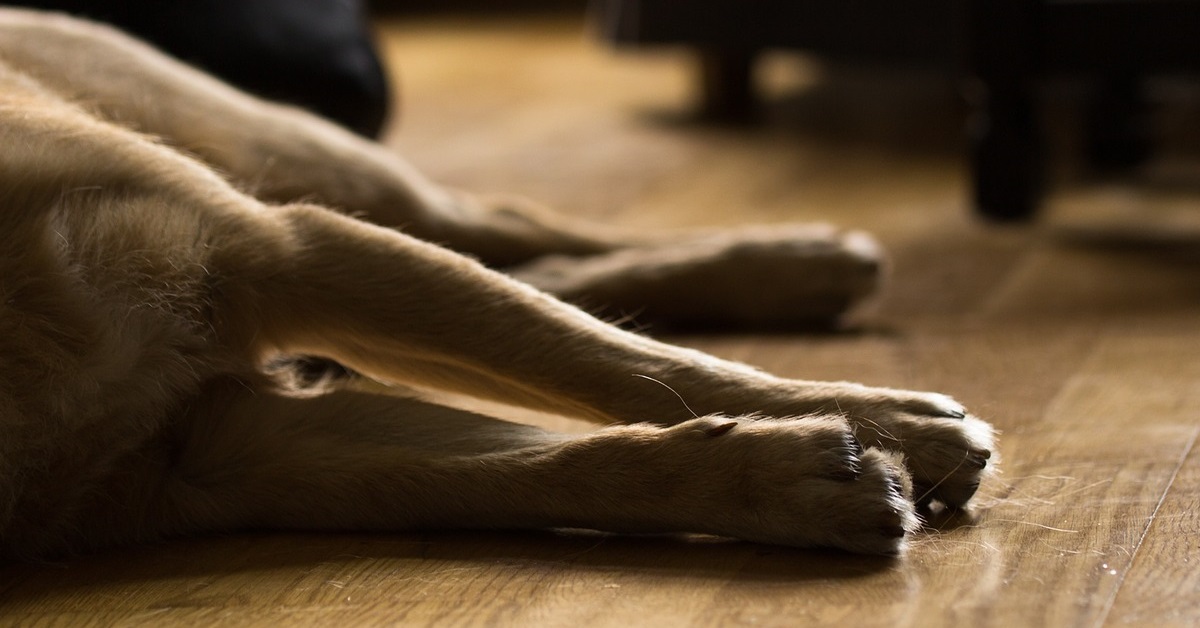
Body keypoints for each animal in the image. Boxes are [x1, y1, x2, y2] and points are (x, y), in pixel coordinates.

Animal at [0, 8, 993, 559]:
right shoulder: (222, 455)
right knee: (533, 266)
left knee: (513, 231)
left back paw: (804, 263)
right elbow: (540, 469)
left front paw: (897, 423)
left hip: (291, 153)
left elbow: (619, 367)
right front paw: (787, 479)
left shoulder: (277, 251)